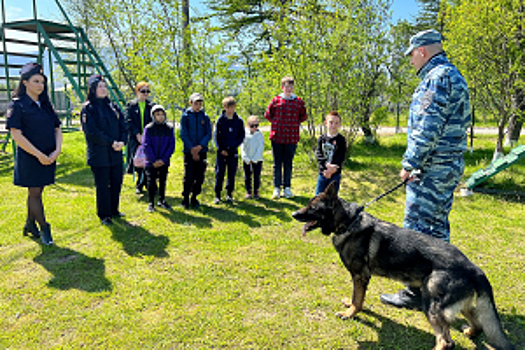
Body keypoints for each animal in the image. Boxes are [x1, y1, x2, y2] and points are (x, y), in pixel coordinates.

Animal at [290, 183, 512, 350]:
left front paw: (350, 314)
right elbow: (357, 298)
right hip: (457, 304)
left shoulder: (360, 276)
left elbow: (357, 299)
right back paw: (470, 331)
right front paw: (350, 307)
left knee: (446, 342)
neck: (348, 222)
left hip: (432, 305)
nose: (293, 214)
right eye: (307, 204)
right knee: (477, 321)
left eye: (312, 208)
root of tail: (473, 267)